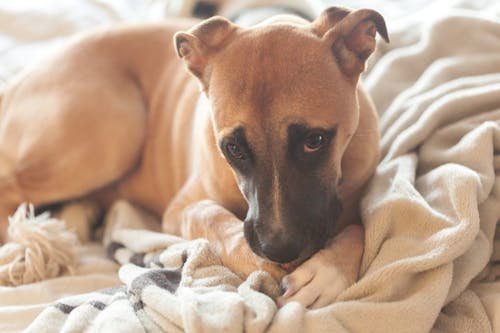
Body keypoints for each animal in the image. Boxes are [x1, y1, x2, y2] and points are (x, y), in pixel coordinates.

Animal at [0, 6, 386, 308]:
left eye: (315, 140)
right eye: (233, 148)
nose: (278, 249)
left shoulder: (352, 202)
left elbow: (359, 230)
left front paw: (326, 271)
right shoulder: (180, 209)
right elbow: (212, 217)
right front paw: (259, 262)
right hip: (115, 127)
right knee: (10, 190)